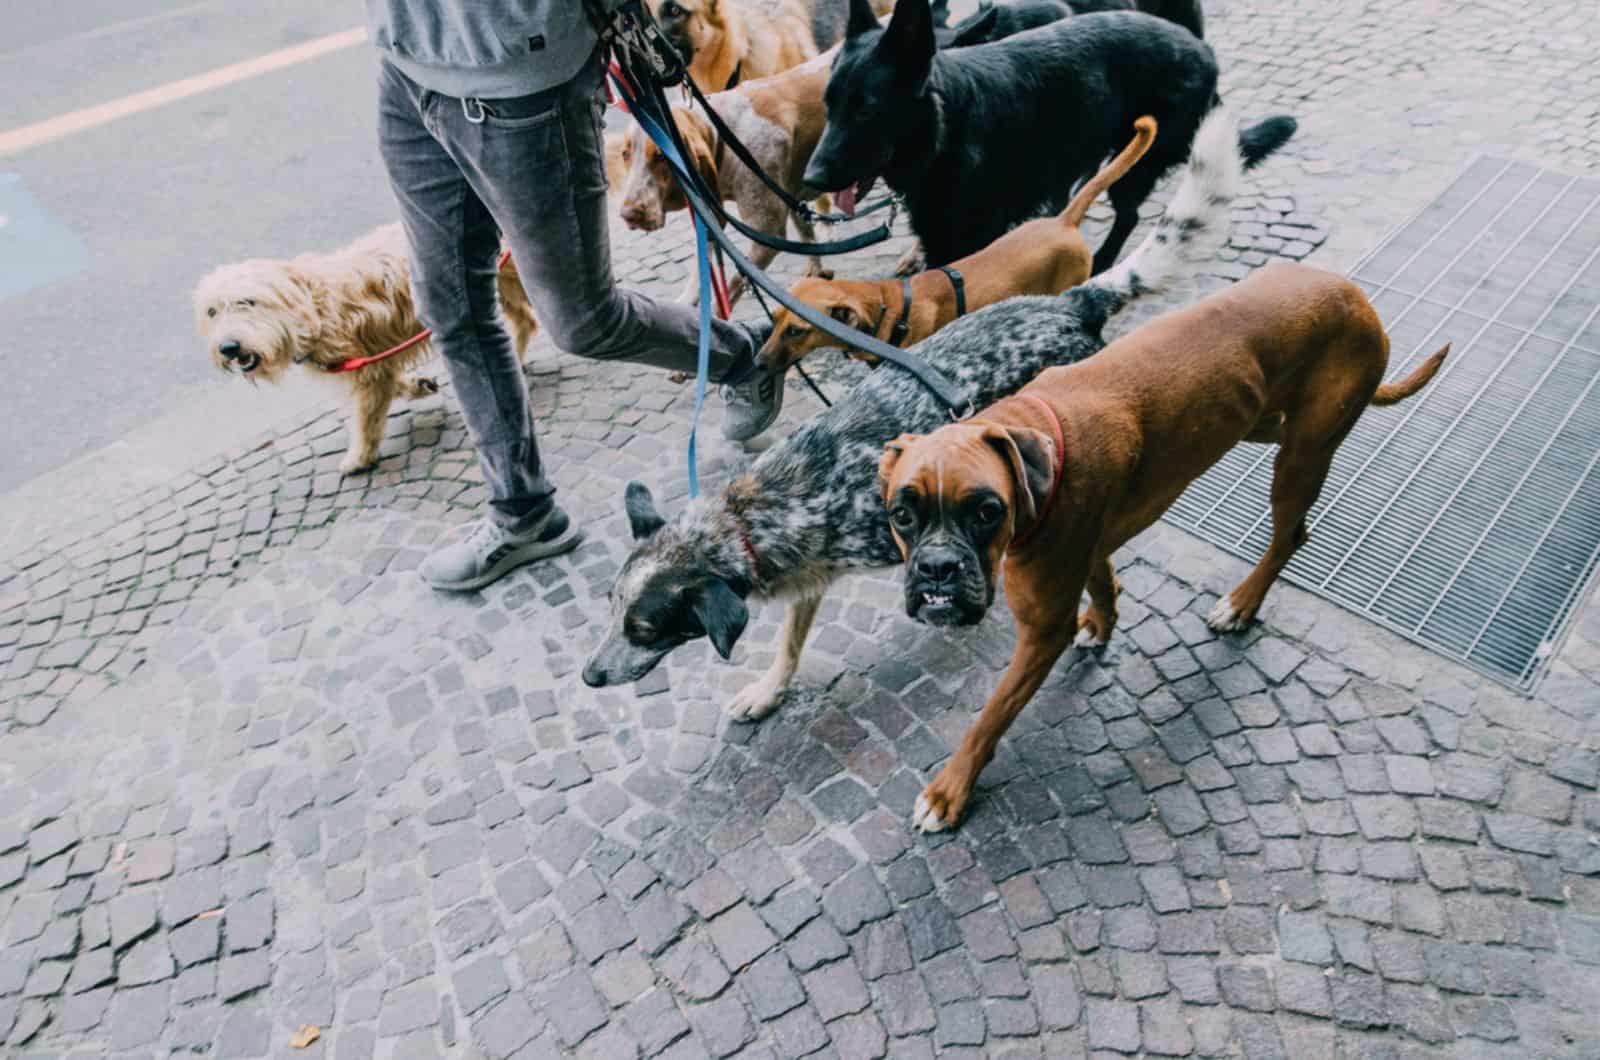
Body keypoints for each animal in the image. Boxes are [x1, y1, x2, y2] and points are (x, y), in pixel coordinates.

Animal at [194, 225, 540, 477]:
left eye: (247, 302)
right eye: (212, 312)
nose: (228, 347)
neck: (311, 305)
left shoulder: (366, 371)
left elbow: (364, 419)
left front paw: (359, 457)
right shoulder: (373, 360)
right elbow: (390, 381)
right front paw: (416, 385)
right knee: (525, 319)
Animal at [800, 0, 1286, 270]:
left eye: (867, 108)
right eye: (828, 104)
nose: (810, 180)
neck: (946, 128)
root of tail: (1203, 50)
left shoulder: (967, 243)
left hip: (1137, 164)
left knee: (1127, 216)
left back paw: (1100, 263)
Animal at [876, 260, 1452, 832]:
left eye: (986, 512)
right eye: (901, 516)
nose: (937, 567)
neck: (1039, 449)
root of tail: (1356, 298)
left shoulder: (1043, 631)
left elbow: (992, 714)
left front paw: (949, 791)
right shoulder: (1088, 549)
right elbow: (1104, 586)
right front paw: (1101, 626)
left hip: (1300, 458)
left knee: (1290, 534)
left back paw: (1242, 604)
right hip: (1265, 423)